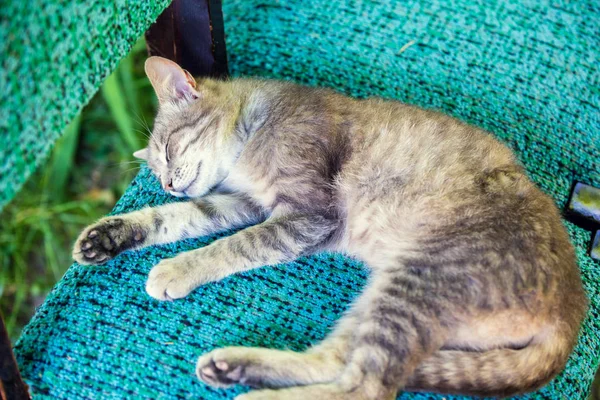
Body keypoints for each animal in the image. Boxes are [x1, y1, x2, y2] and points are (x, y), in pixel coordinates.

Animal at [71, 57, 584, 400]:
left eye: (169, 149)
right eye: (155, 169)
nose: (167, 184)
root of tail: (572, 311)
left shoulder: (305, 214)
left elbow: (231, 247)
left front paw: (174, 269)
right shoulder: (242, 203)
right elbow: (177, 218)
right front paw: (110, 235)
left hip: (417, 284)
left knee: (367, 387)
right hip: (385, 296)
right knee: (335, 360)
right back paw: (235, 367)